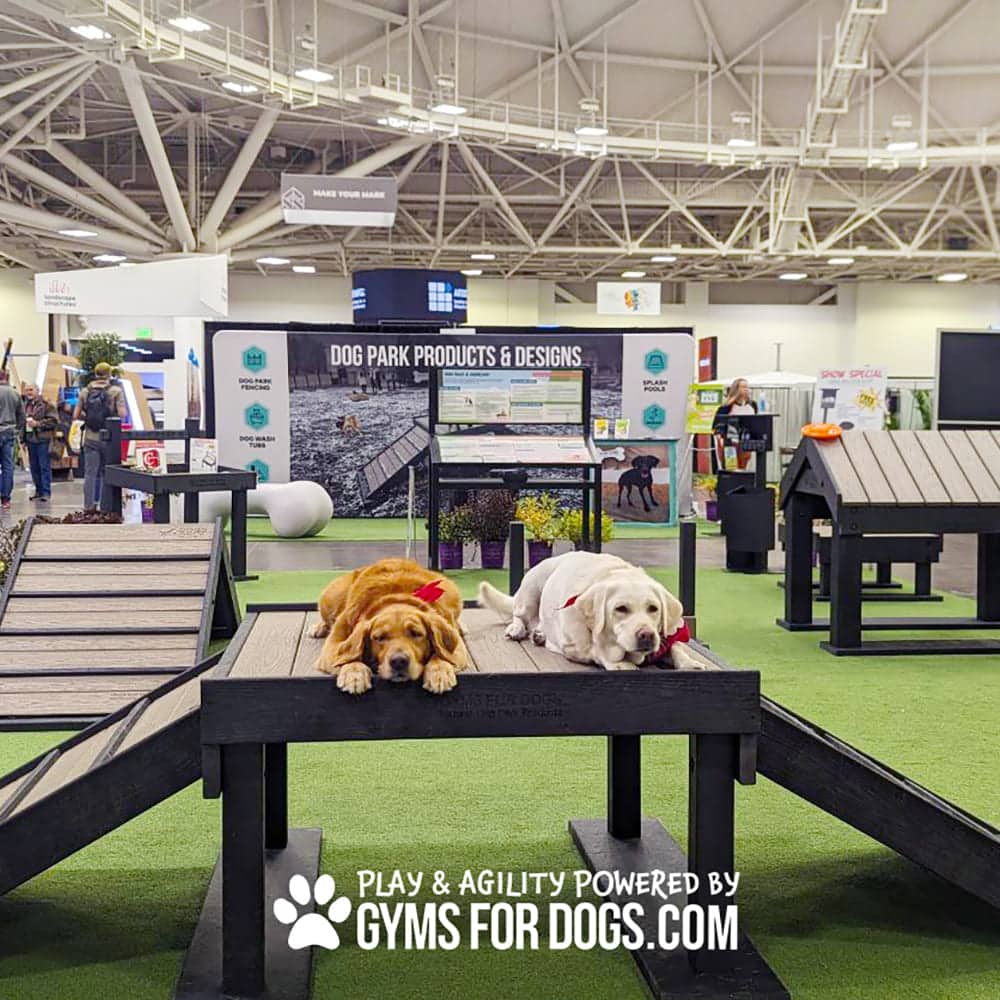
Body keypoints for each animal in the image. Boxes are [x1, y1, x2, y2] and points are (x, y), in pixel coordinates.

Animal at [312, 559, 468, 695]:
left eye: (416, 633)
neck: (397, 596)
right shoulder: (333, 644)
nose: (399, 661)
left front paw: (440, 671)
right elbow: (348, 655)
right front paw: (354, 673)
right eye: (379, 638)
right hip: (330, 597)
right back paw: (318, 627)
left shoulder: (458, 648)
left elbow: (442, 654)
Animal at [478, 551, 709, 671]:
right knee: (518, 614)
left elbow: (676, 646)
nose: (646, 635)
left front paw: (690, 662)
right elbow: (596, 650)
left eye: (653, 608)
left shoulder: (666, 638)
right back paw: (517, 629)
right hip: (532, 586)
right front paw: (619, 662)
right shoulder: (573, 646)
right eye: (620, 609)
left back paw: (539, 634)